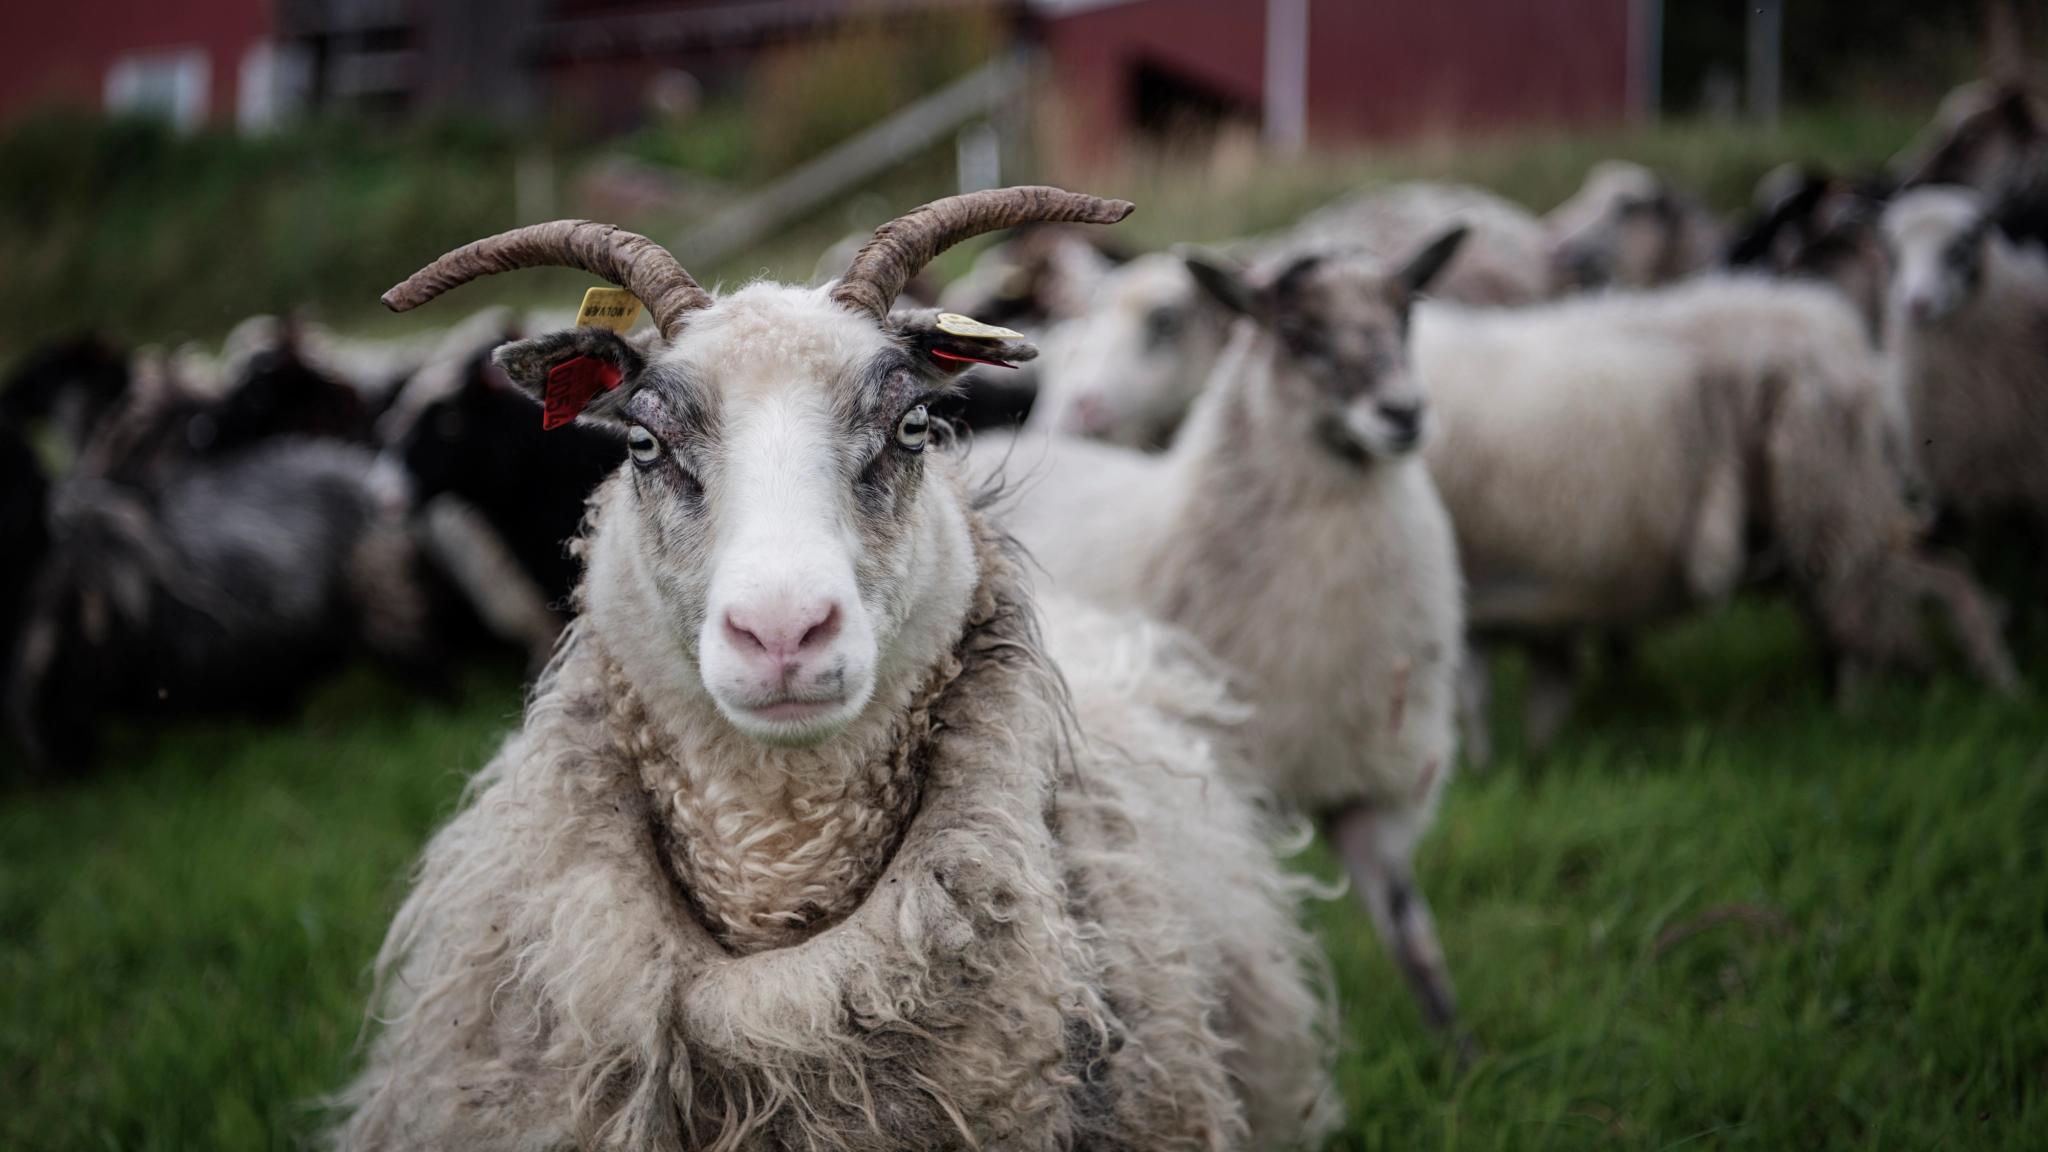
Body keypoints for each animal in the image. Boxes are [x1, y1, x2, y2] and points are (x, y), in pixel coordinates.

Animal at [970, 232, 1474, 1038]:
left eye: (1405, 317)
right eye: (1295, 334)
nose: (1402, 413)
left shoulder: (1378, 788)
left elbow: (1415, 942)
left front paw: (1461, 1054)